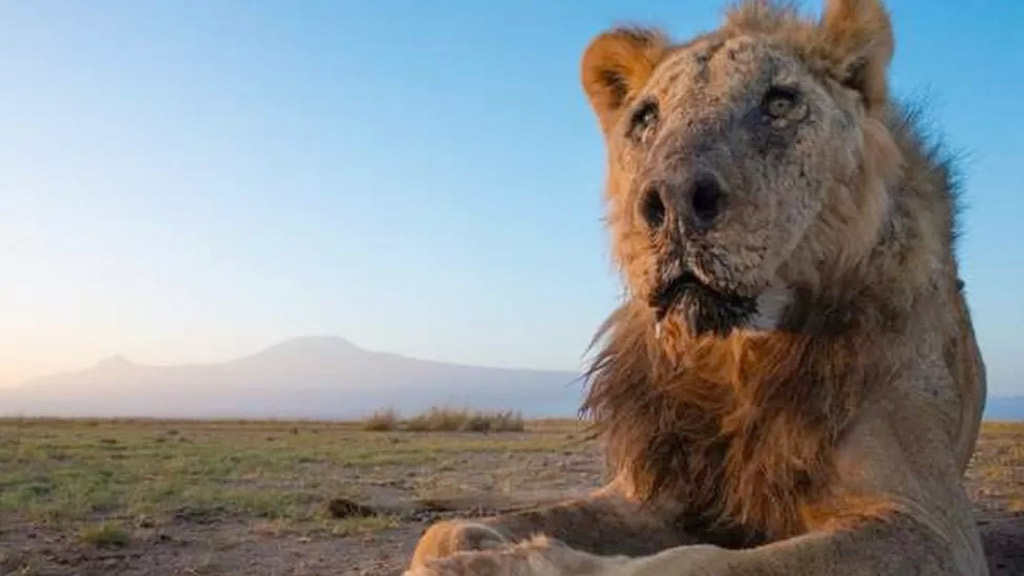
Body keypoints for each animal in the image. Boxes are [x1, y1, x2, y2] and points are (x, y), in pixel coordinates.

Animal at [407, 1, 991, 573]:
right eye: (645, 118)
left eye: (780, 103)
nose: (673, 199)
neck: (733, 357)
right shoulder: (653, 493)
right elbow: (444, 531)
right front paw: (472, 546)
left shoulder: (929, 526)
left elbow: (693, 562)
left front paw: (515, 563)